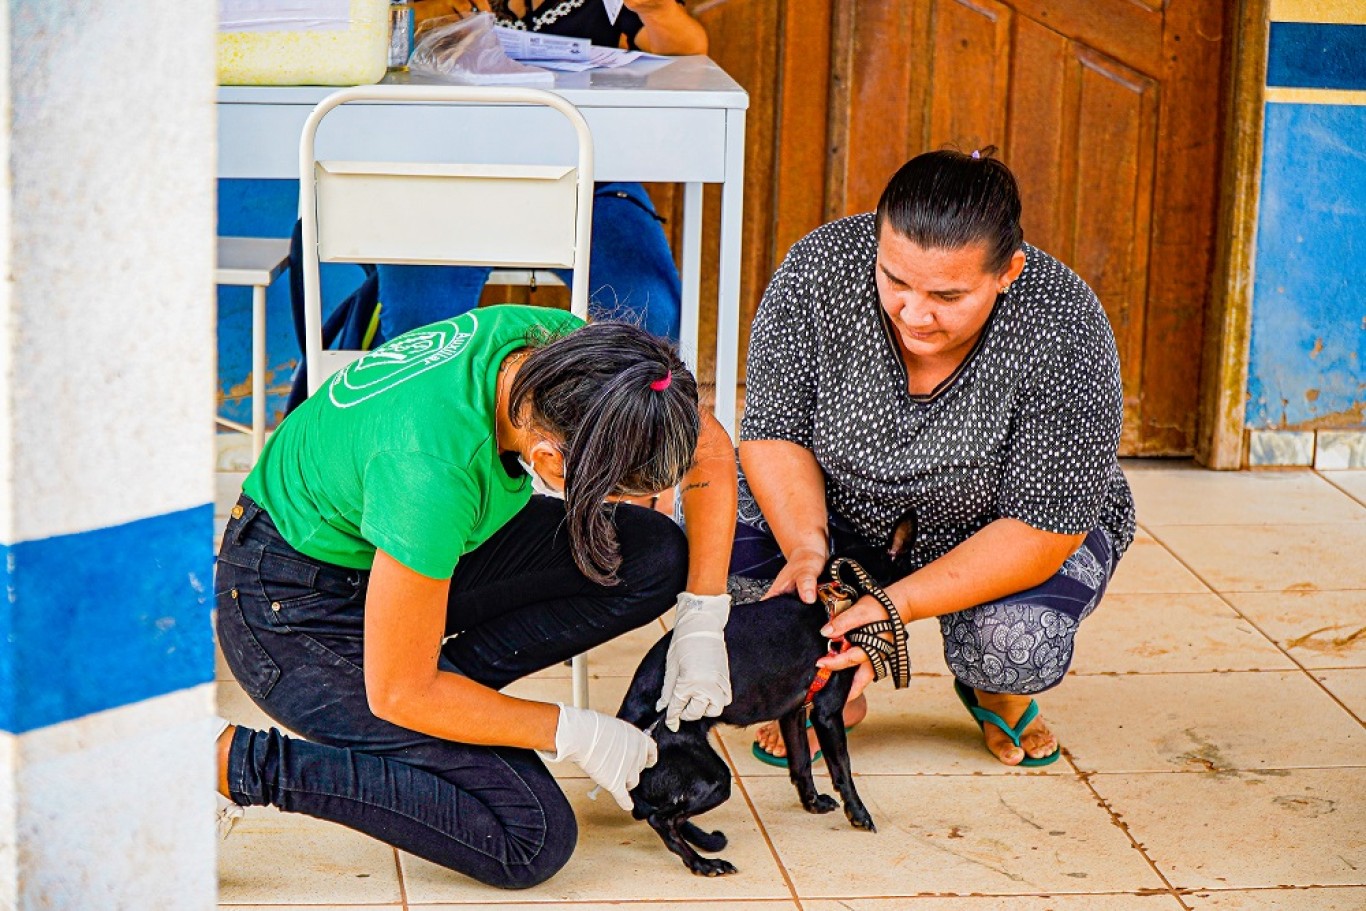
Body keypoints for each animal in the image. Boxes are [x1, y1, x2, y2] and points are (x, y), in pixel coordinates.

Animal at [620, 513, 917, 874]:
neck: (833, 600)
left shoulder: (793, 713)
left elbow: (800, 764)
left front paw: (812, 803)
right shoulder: (827, 713)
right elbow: (842, 769)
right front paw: (859, 814)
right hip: (715, 779)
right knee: (663, 821)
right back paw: (704, 863)